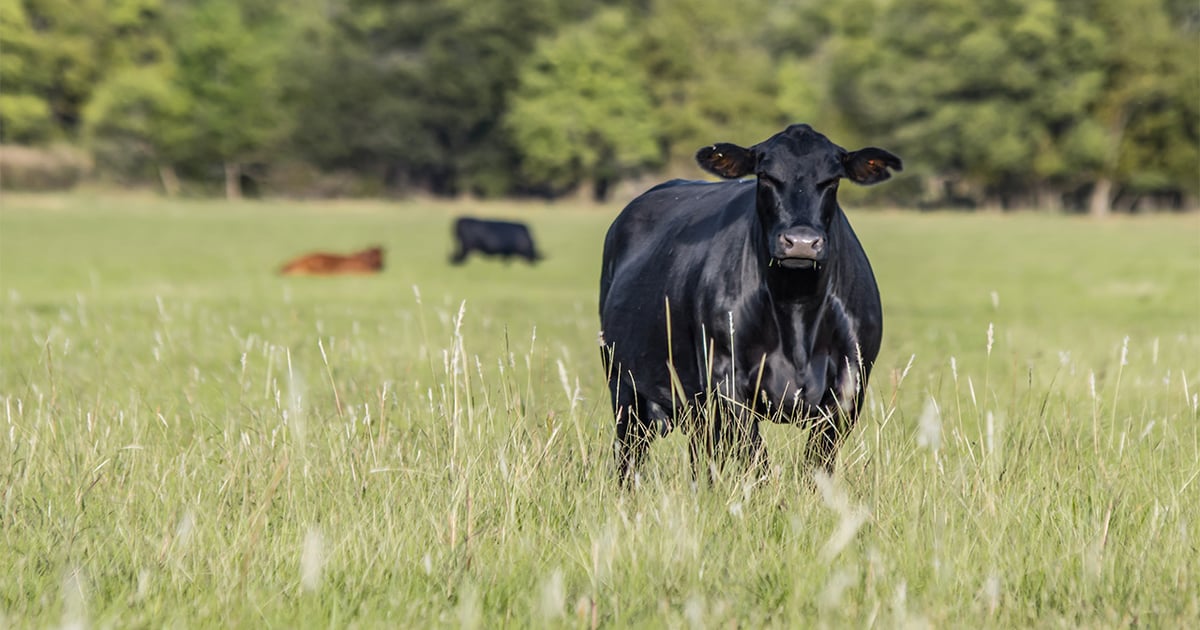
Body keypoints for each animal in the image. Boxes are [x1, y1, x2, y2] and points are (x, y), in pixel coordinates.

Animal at [598, 124, 901, 487]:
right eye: (766, 175)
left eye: (832, 179)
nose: (801, 242)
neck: (796, 306)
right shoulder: (727, 380)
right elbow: (758, 462)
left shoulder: (850, 384)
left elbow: (817, 465)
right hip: (624, 387)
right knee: (630, 455)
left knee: (701, 455)